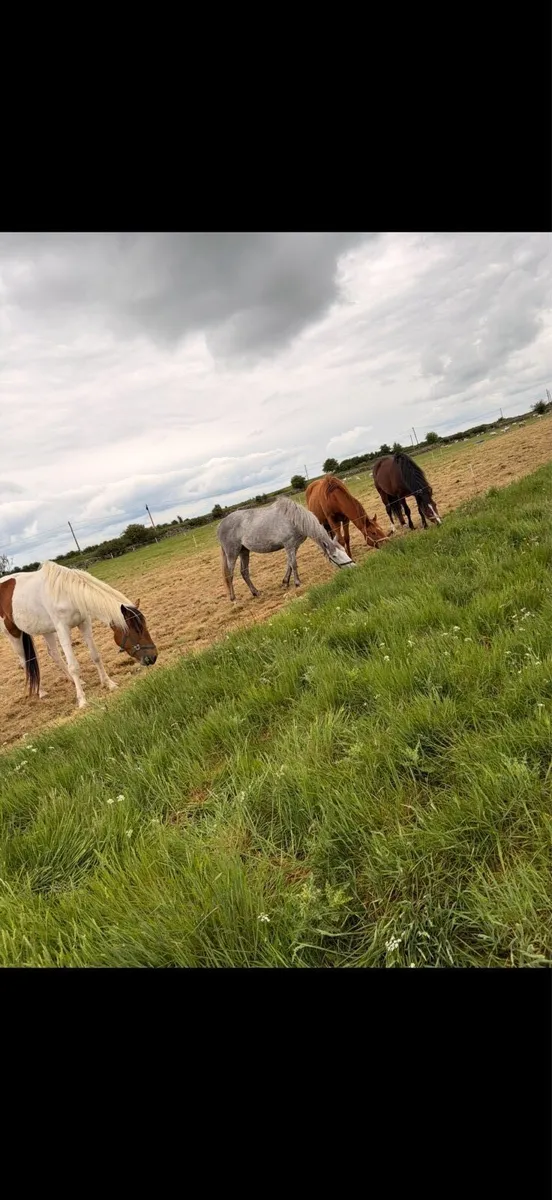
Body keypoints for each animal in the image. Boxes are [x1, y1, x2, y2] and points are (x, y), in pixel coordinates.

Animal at [0, 560, 157, 709]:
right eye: (135, 630)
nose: (153, 657)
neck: (66, 593)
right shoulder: (62, 629)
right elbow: (74, 666)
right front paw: (82, 700)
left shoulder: (84, 623)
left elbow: (95, 656)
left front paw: (109, 683)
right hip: (13, 633)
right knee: (25, 661)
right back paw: (41, 691)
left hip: (46, 630)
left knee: (54, 654)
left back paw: (75, 681)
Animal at [217, 494, 354, 601]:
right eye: (335, 556)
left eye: (344, 551)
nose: (353, 567)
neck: (294, 519)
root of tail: (220, 525)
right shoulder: (289, 545)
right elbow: (293, 564)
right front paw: (297, 583)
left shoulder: (294, 546)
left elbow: (289, 564)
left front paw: (285, 582)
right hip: (232, 552)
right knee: (230, 575)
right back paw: (233, 598)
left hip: (244, 551)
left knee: (244, 572)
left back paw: (256, 592)